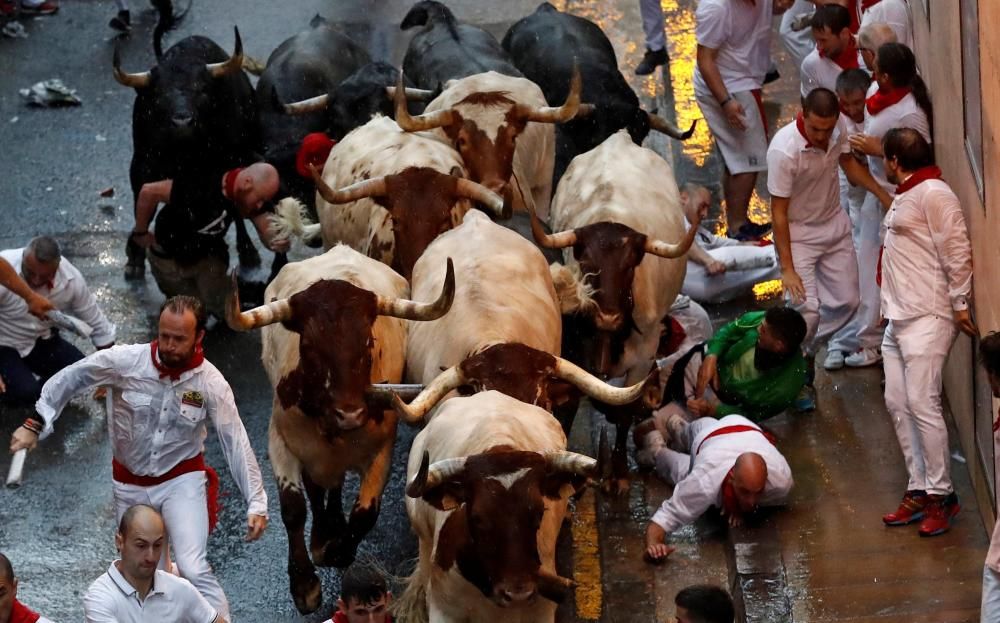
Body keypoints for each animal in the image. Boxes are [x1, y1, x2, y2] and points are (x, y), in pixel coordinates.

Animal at [225, 245, 456, 616]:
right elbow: (294, 508)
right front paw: (305, 585)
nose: (350, 414)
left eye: (367, 343)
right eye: (309, 347)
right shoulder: (282, 443)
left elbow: (364, 514)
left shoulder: (381, 450)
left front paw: (339, 550)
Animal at [532, 132, 696, 492]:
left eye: (630, 264)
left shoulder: (644, 355)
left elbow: (624, 409)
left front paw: (618, 472)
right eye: (586, 263)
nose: (608, 317)